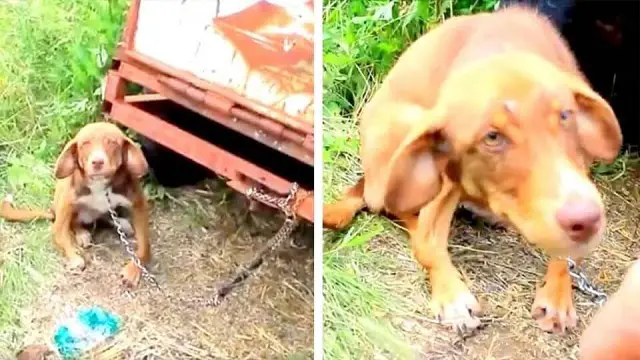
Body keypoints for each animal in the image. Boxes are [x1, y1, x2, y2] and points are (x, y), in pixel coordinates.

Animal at [0, 122, 151, 288]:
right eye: (85, 144)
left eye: (112, 142)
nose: (97, 162)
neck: (100, 185)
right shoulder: (64, 211)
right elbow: (61, 238)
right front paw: (74, 258)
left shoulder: (139, 206)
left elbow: (144, 246)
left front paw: (133, 270)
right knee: (74, 223)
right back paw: (82, 234)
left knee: (105, 216)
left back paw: (121, 224)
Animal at [322, 6, 624, 334]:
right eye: (492, 137)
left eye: (566, 115)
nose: (587, 220)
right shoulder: (444, 176)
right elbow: (427, 244)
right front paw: (452, 297)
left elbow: (567, 256)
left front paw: (557, 294)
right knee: (392, 209)